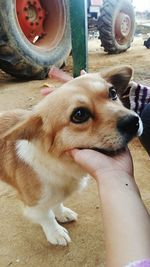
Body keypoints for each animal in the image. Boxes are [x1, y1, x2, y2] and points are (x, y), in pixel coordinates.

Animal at [0, 66, 142, 246]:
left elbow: (57, 203)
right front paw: (55, 232)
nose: (134, 121)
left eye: (113, 92)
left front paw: (61, 213)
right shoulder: (34, 205)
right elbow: (47, 217)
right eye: (79, 114)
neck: (60, 163)